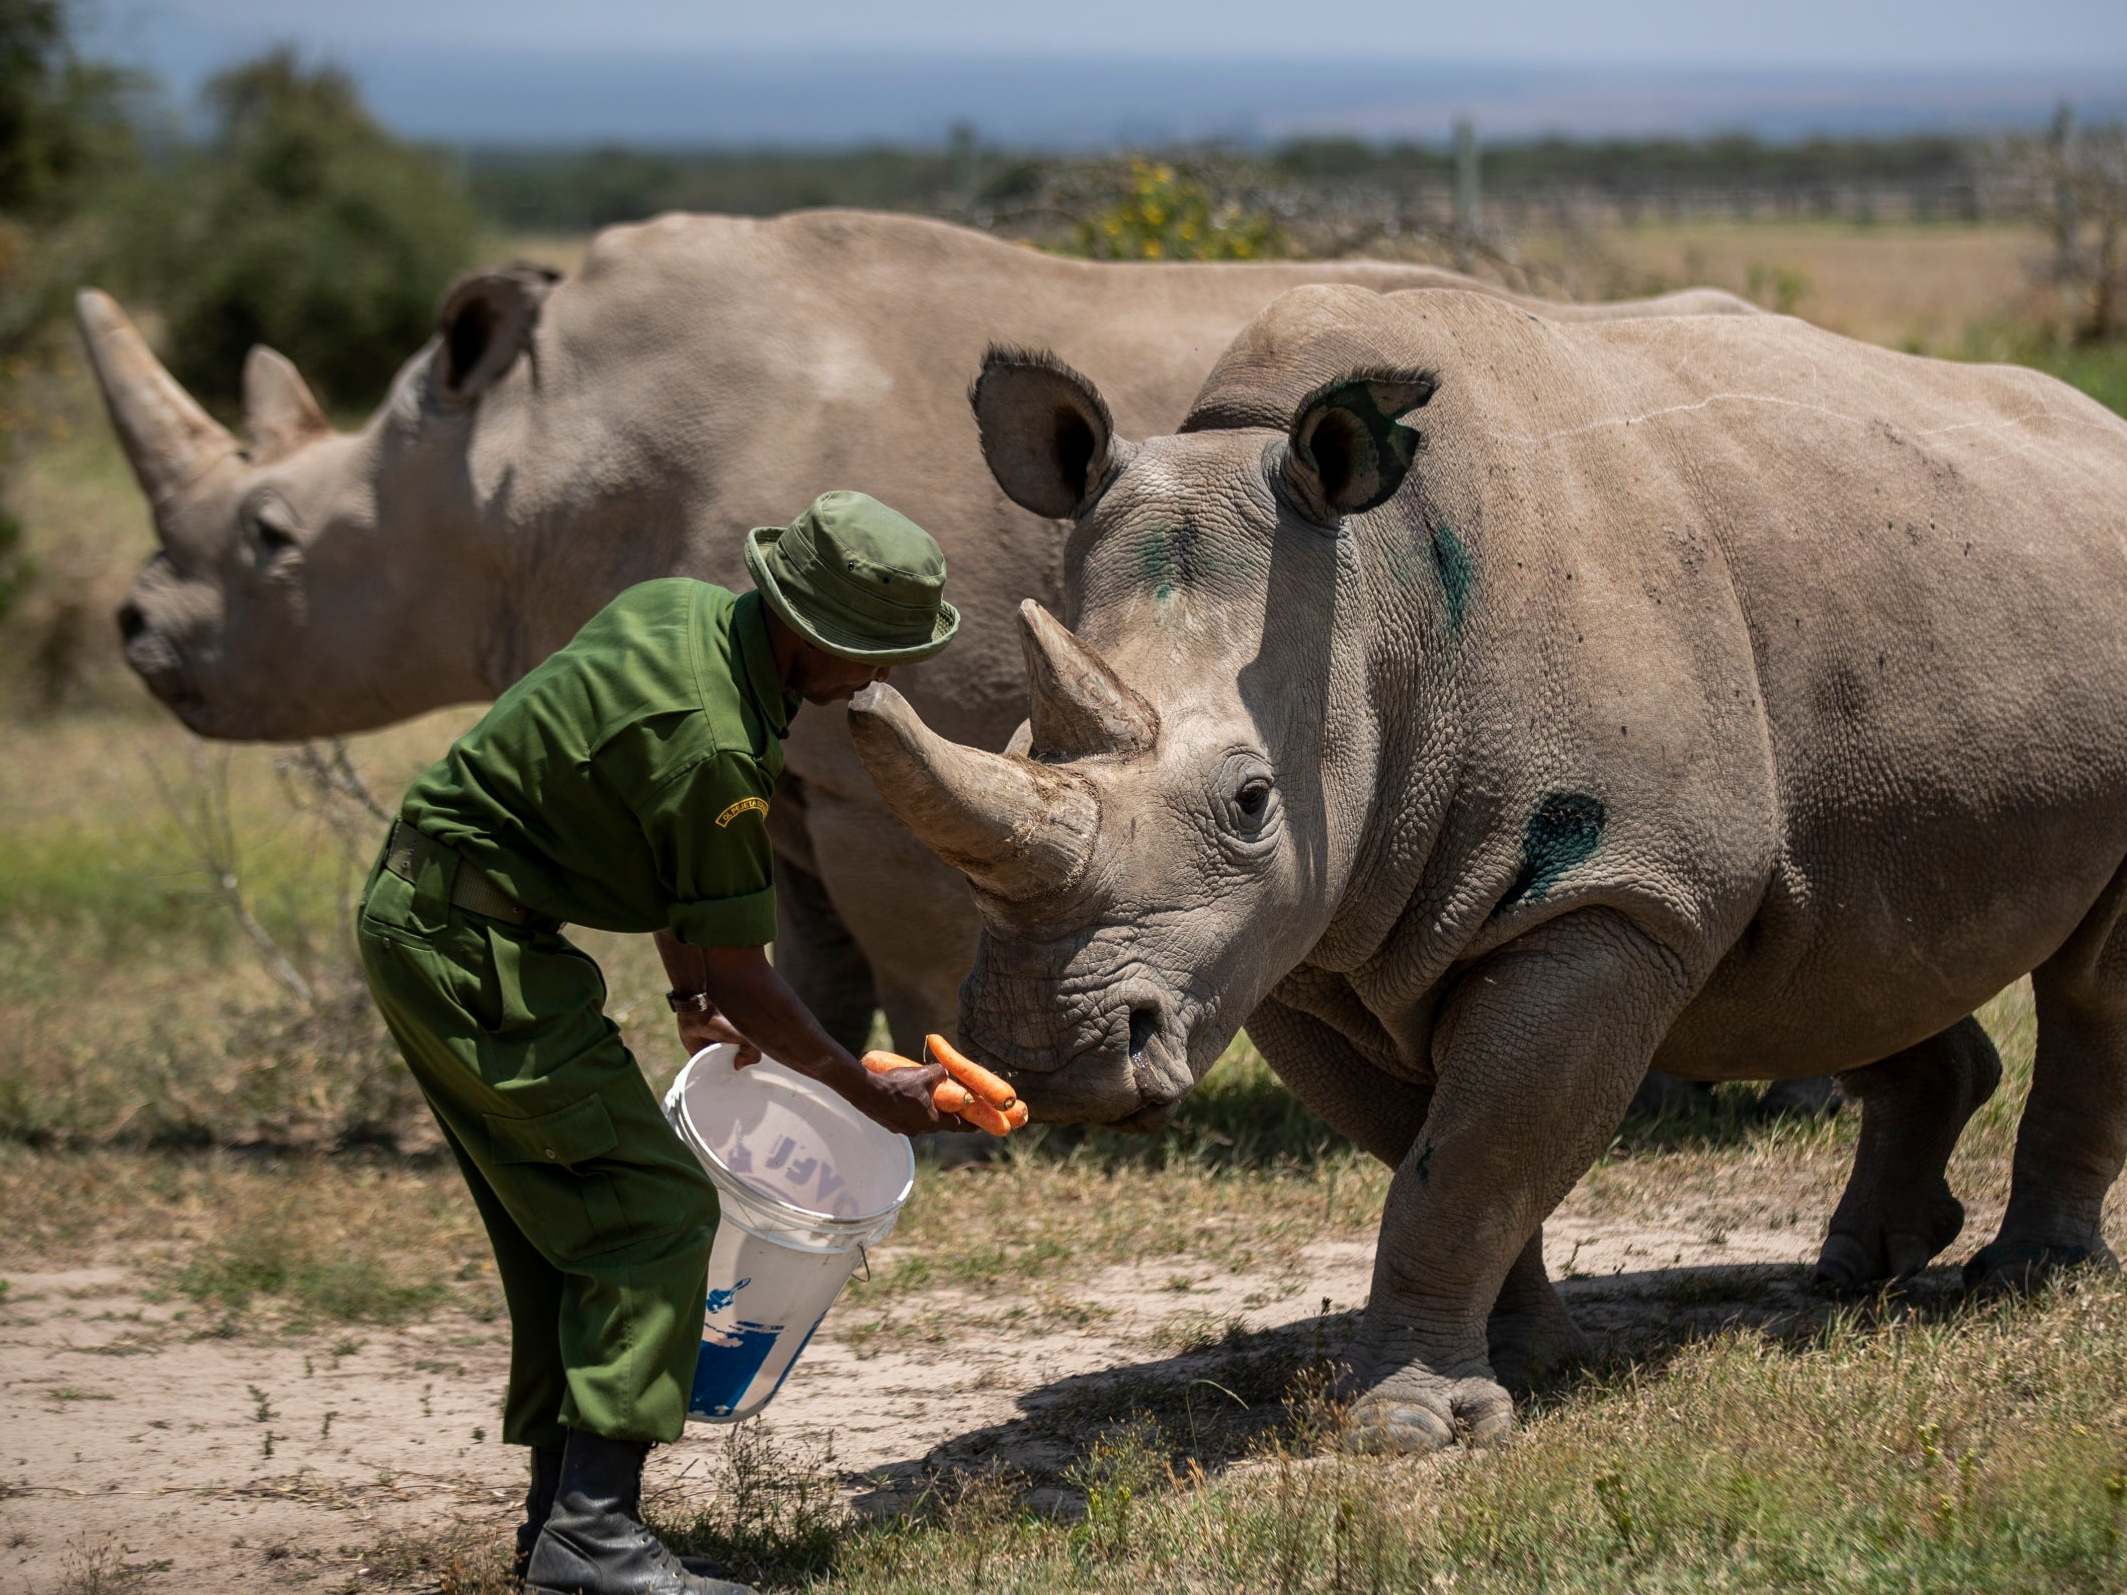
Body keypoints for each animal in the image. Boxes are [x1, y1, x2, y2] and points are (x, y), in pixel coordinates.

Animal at [77, 209, 1756, 1056]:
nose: (134, 628)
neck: (514, 455)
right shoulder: (785, 753)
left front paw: (964, 1083)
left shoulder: (891, 739)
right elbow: (795, 931)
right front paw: (780, 1066)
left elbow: (901, 921)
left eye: (269, 541)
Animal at [849, 282, 2127, 1452]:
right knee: (1845, 940)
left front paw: (1406, 1430)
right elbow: (1435, 1154)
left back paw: (2029, 1279)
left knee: (2080, 983)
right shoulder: (1301, 941)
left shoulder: (1608, 894)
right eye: (1019, 743)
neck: (1375, 600)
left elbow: (1466, 1158)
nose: (1046, 1054)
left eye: (1253, 801)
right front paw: (1523, 1369)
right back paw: (1856, 1272)